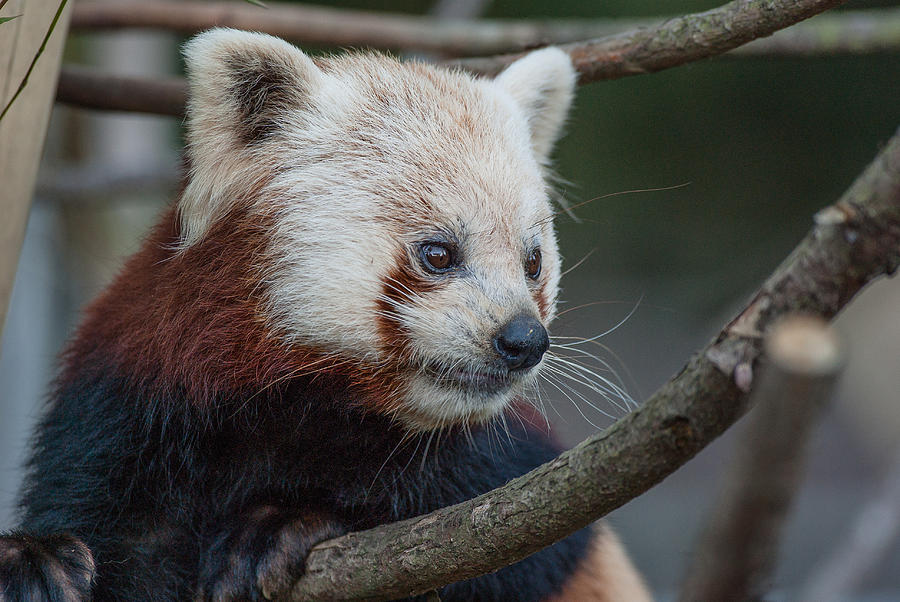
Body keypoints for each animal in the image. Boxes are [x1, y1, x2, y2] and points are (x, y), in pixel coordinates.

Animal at [0, 25, 652, 596]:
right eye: (438, 253)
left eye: (533, 261)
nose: (523, 340)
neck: (307, 403)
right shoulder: (122, 407)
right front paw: (35, 562)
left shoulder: (513, 475)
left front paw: (291, 523)